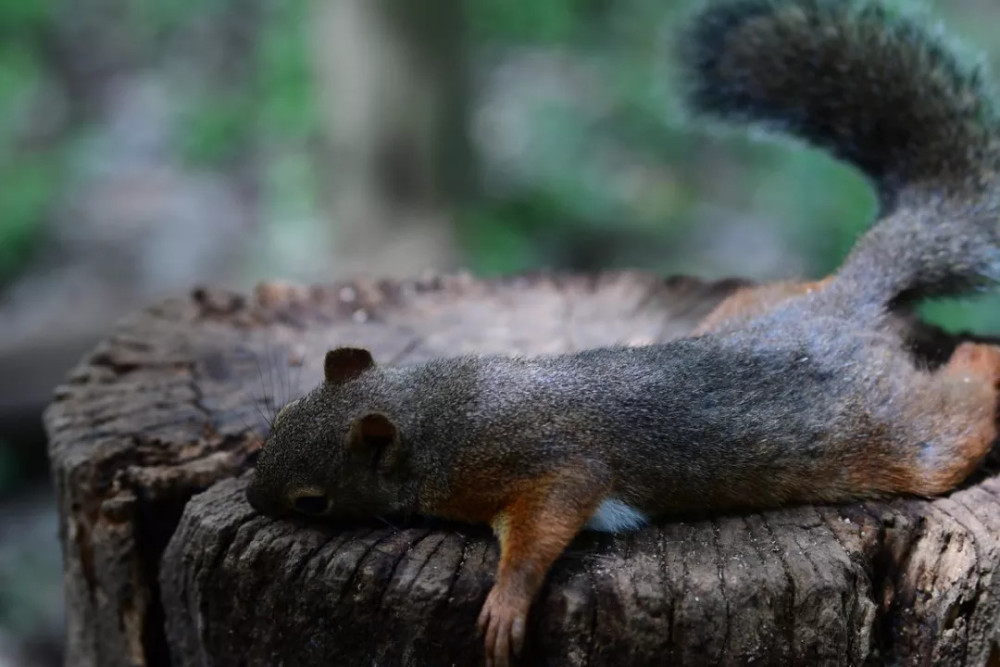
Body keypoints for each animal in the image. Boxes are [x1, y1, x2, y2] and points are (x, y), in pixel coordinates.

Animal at [246, 2, 1000, 664]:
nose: (252, 499)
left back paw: (978, 355)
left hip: (898, 433)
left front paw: (506, 604)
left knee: (955, 421)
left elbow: (546, 524)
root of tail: (852, 299)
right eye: (276, 421)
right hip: (756, 302)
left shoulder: (545, 463)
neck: (439, 411)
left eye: (312, 500)